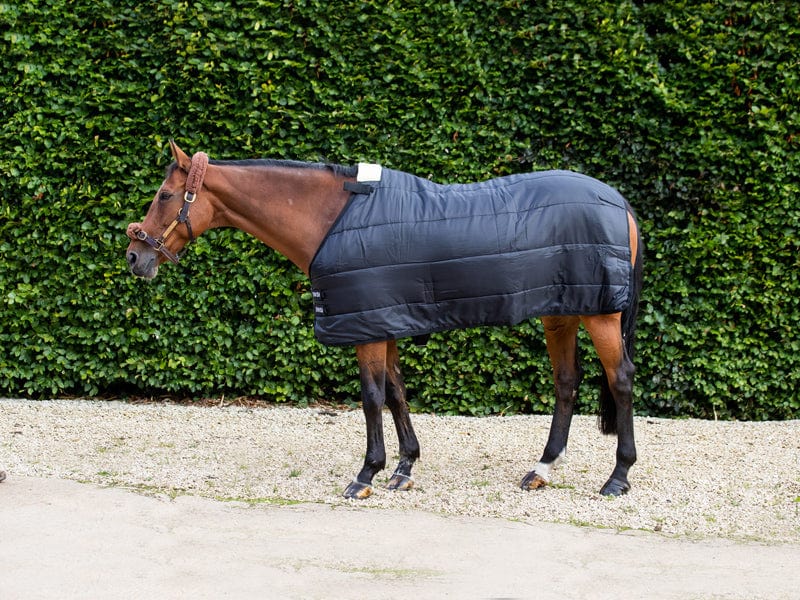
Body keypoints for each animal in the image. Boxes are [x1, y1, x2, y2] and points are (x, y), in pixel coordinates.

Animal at [126, 140, 643, 499]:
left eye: (165, 194)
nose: (134, 256)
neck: (331, 219)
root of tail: (620, 203)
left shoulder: (367, 329)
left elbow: (372, 397)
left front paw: (366, 474)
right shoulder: (382, 320)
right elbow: (396, 392)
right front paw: (404, 467)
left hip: (601, 314)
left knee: (620, 379)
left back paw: (617, 477)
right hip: (562, 313)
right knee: (566, 382)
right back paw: (542, 469)